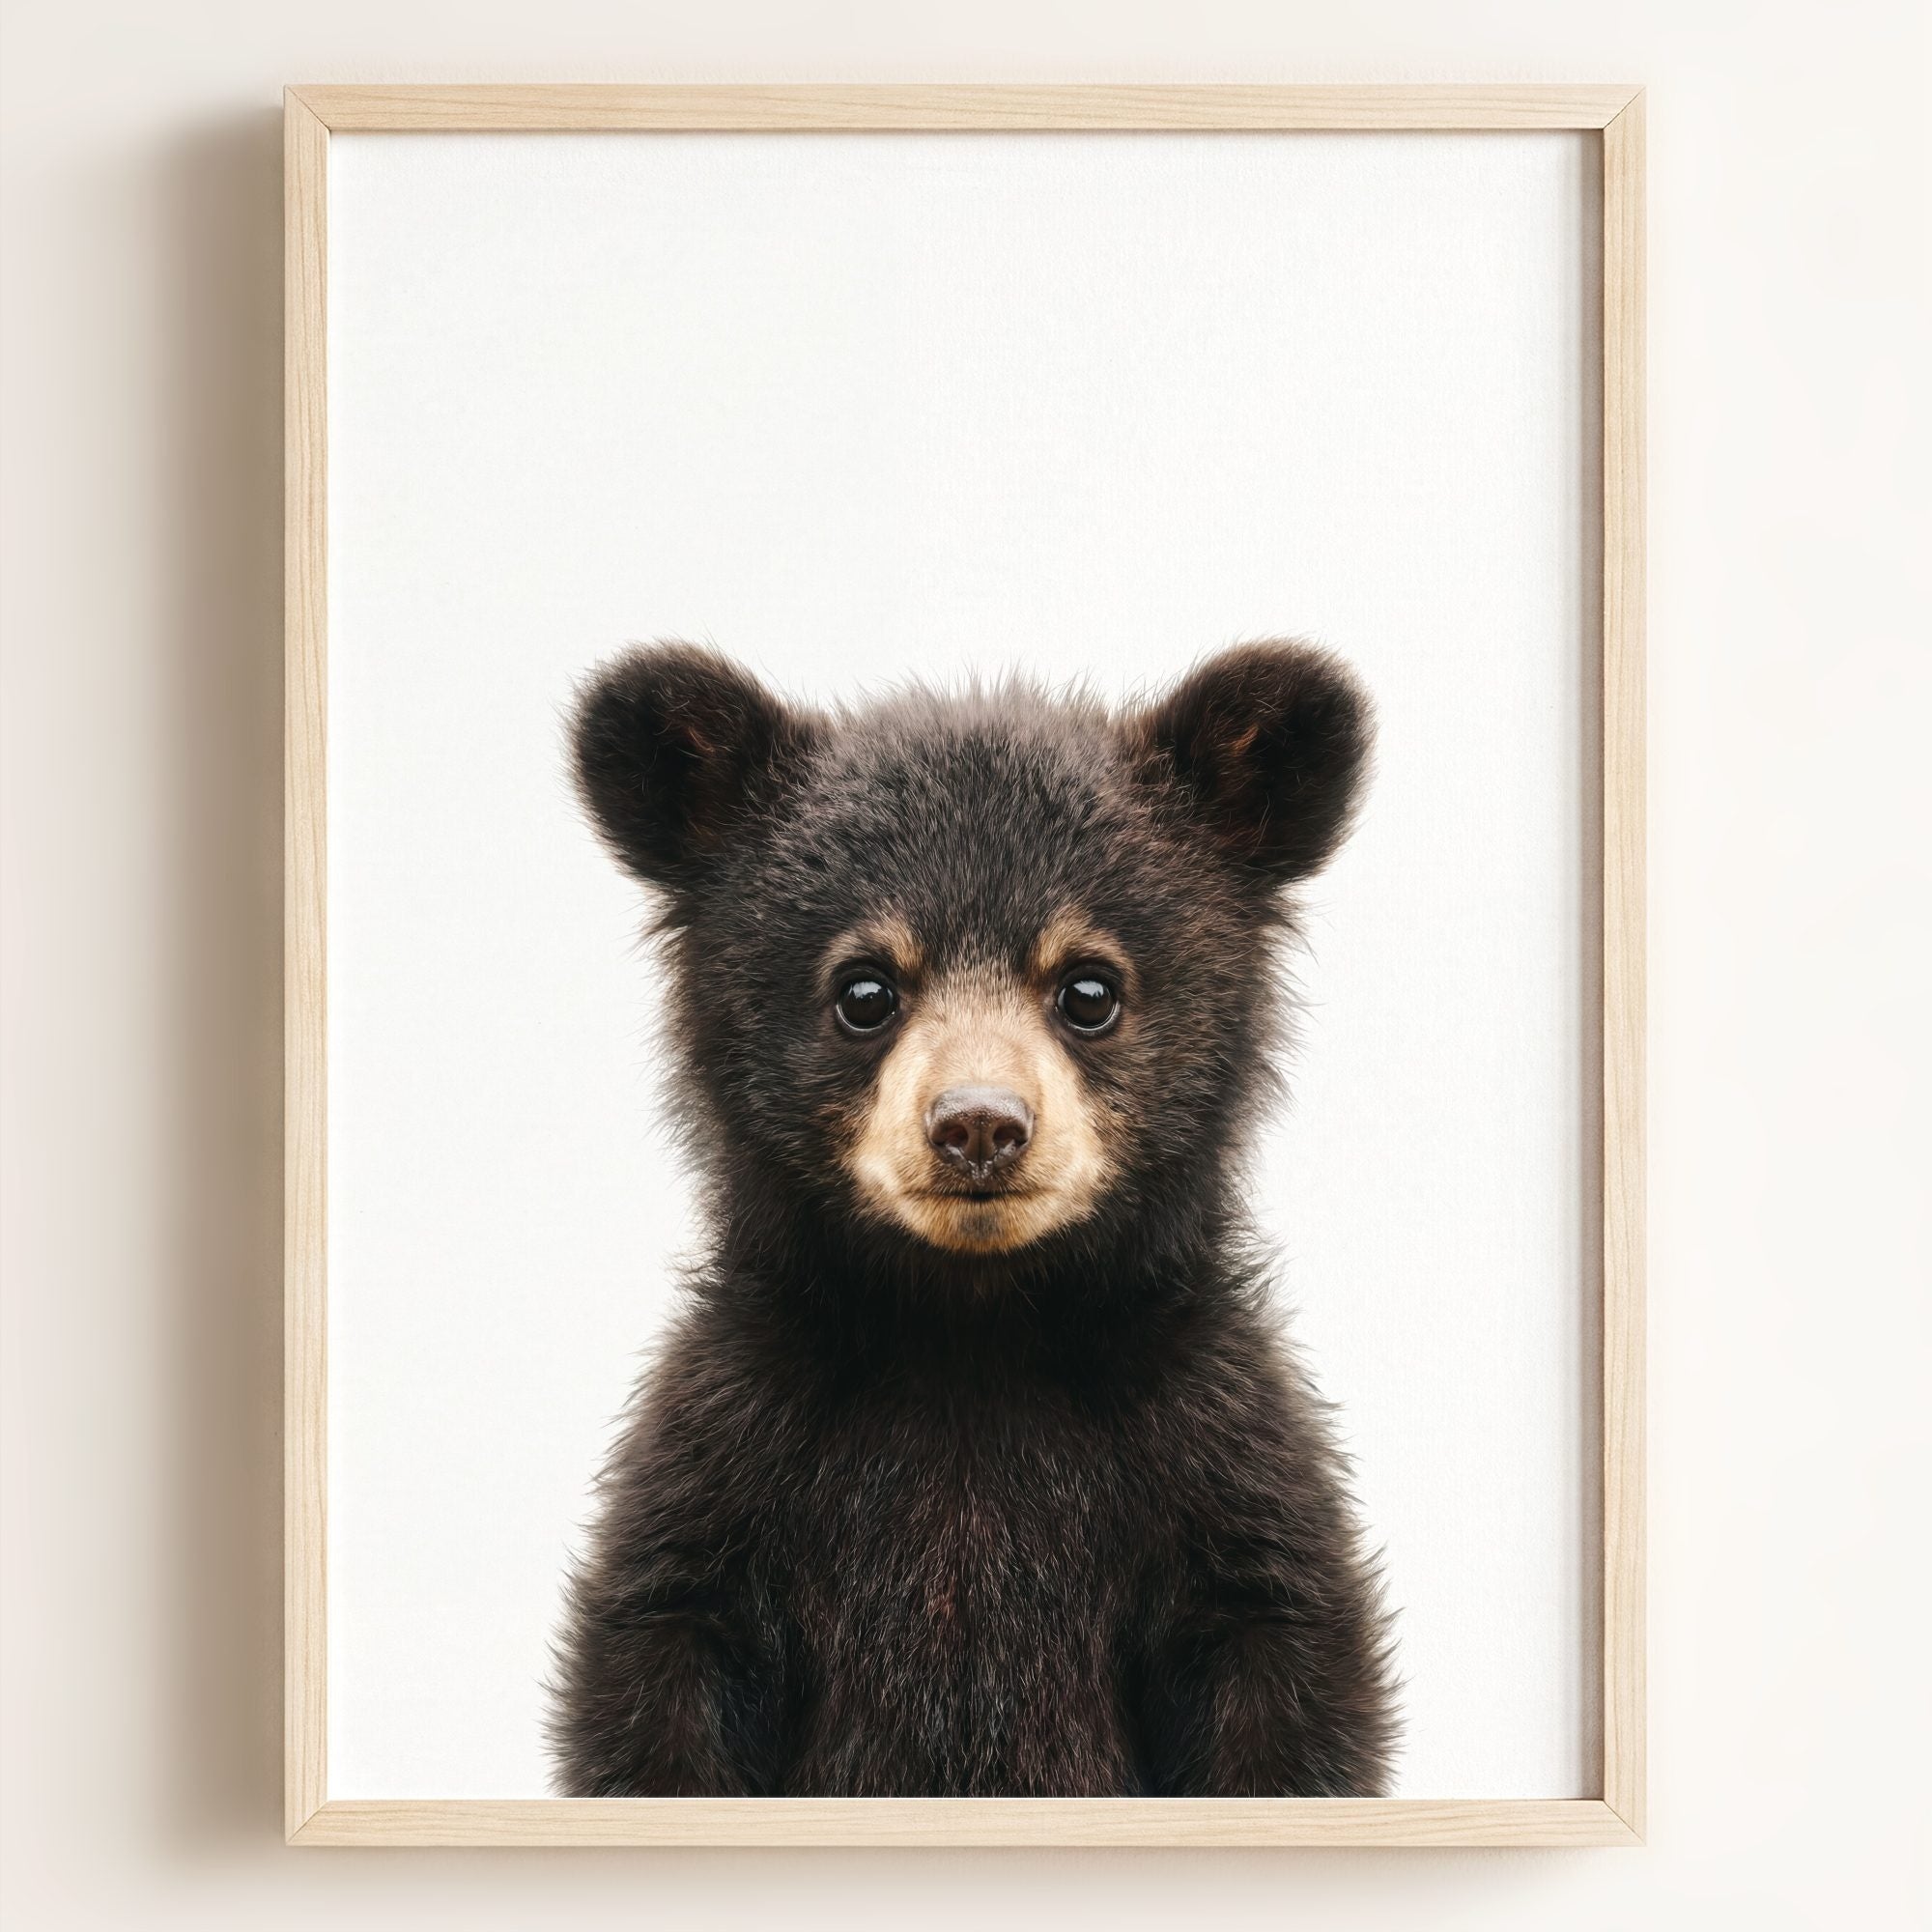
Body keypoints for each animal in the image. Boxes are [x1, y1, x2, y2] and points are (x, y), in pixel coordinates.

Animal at [549, 639, 1397, 1798]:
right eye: (864, 989)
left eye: (1089, 987)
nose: (980, 1125)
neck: (971, 1331)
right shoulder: (728, 1458)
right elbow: (659, 1671)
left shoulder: (1215, 1458)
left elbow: (1282, 1672)